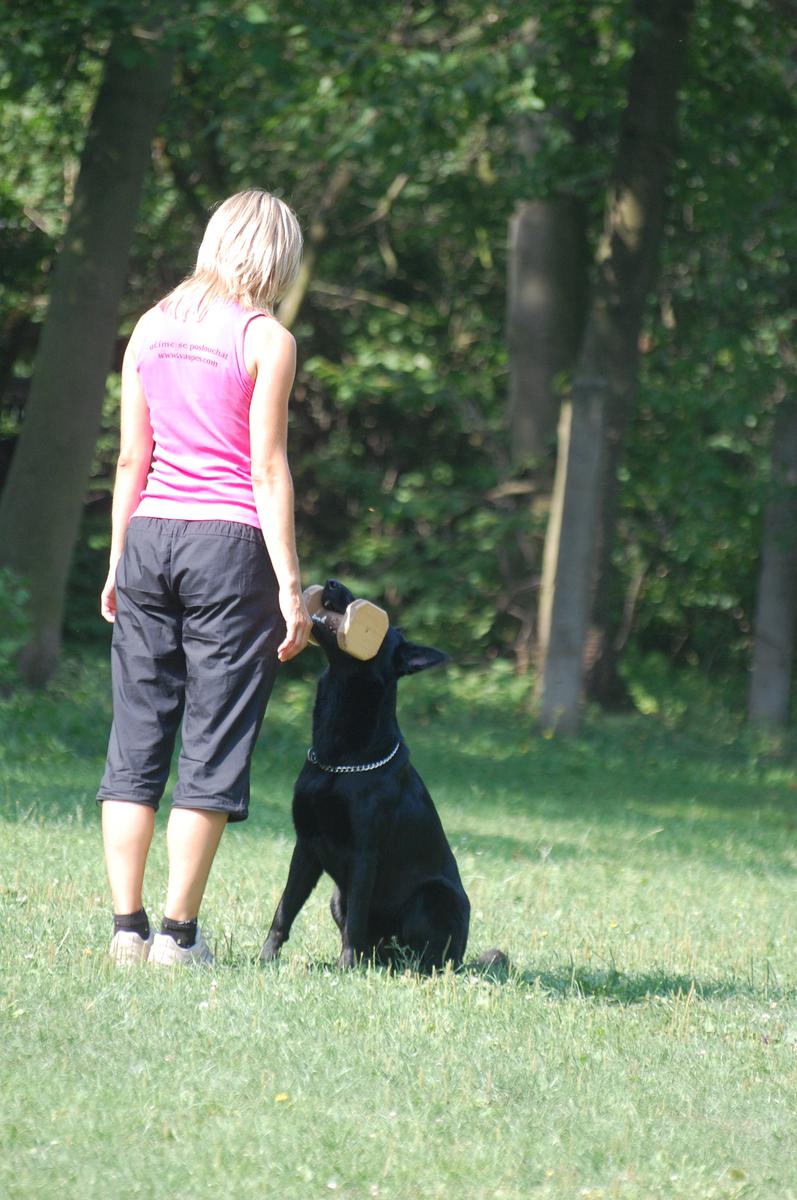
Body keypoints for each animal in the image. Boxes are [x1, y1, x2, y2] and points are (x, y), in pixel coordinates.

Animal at [261, 576, 470, 969]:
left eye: (379, 617)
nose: (332, 582)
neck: (340, 761)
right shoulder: (306, 847)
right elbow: (284, 909)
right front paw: (265, 958)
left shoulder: (363, 854)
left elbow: (355, 921)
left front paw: (346, 969)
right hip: (335, 898)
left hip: (432, 896)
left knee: (423, 958)